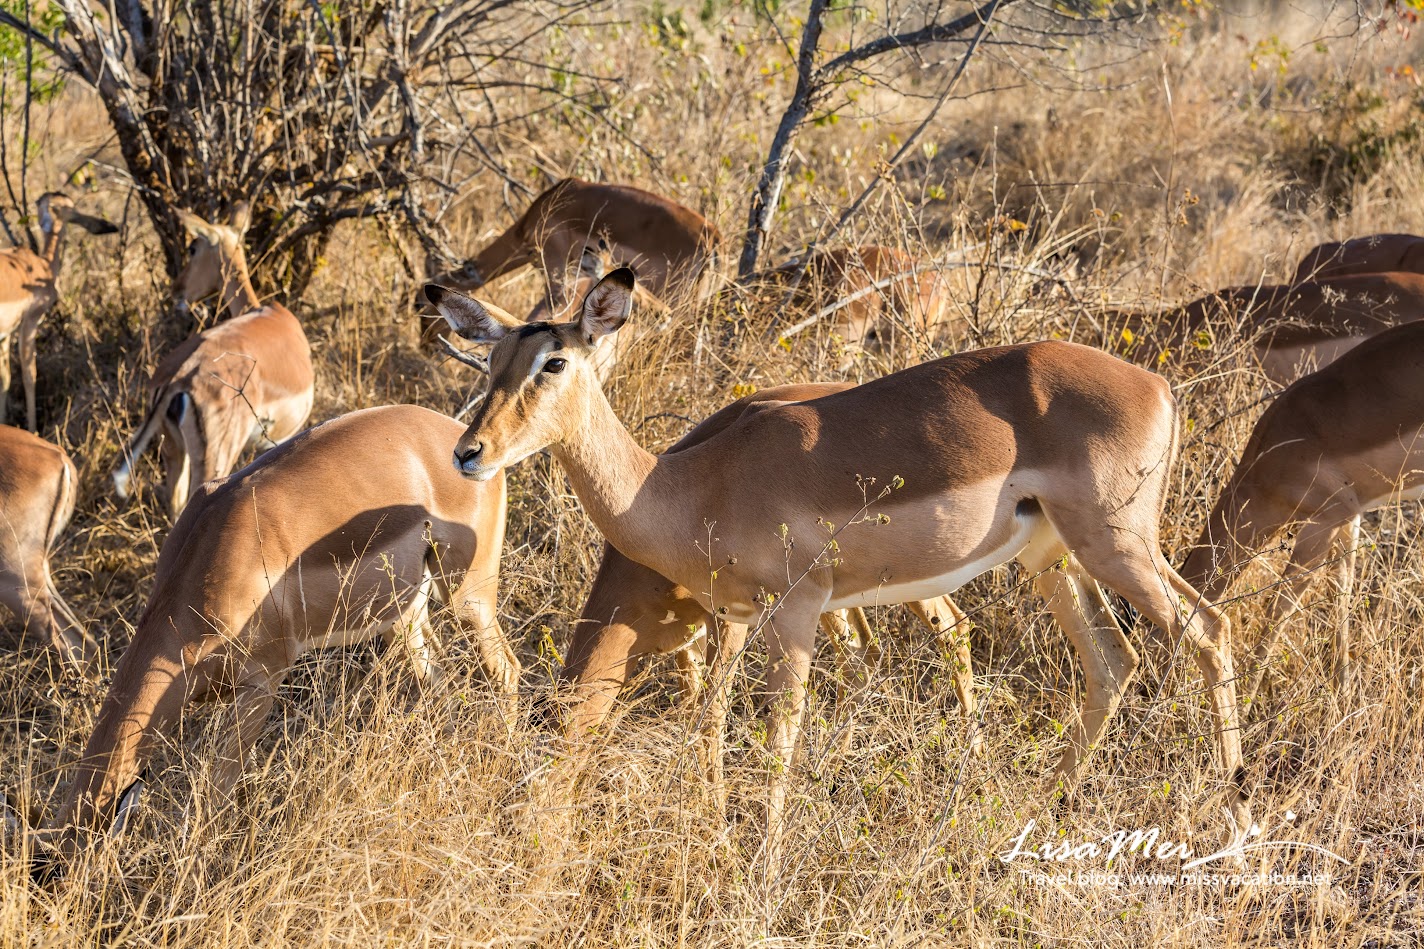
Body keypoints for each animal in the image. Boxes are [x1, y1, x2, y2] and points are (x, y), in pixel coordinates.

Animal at [0, 192, 118, 432]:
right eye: (70, 208)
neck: (42, 265)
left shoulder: (6, 335)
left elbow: (5, 378)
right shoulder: (30, 323)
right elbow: (30, 374)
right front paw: (33, 429)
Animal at [30, 404, 514, 864]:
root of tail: (457, 438)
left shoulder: (262, 682)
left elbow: (218, 790)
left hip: (467, 599)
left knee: (505, 669)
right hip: (405, 617)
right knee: (439, 682)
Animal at [111, 206, 314, 518]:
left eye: (193, 248)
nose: (177, 290)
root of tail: (178, 377)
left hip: (174, 450)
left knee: (175, 502)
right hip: (215, 458)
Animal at [560, 382, 978, 753]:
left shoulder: (726, 618)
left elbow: (711, 714)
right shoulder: (688, 641)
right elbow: (692, 706)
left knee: (947, 628)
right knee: (868, 649)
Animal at [1179, 318, 1424, 701]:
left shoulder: (1320, 527)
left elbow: (1278, 609)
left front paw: (1248, 701)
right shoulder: (1349, 519)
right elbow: (1341, 594)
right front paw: (1344, 691)